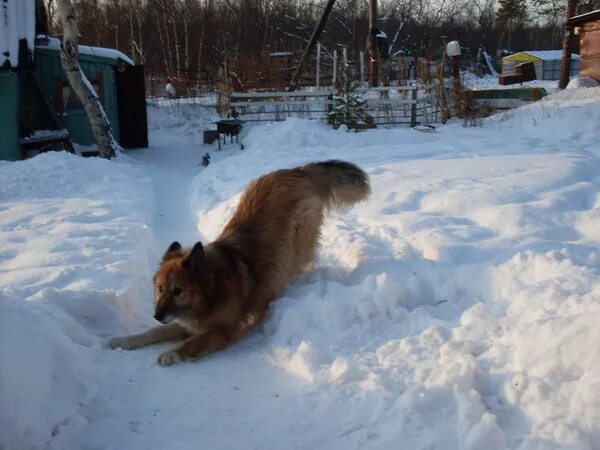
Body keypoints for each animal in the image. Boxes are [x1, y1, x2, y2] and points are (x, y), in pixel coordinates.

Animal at [109, 160, 370, 364]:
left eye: (178, 291)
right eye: (160, 289)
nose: (156, 314)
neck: (212, 289)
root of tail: (296, 171)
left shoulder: (223, 328)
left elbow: (195, 342)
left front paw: (172, 354)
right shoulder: (184, 322)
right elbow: (153, 333)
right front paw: (124, 340)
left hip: (298, 239)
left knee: (298, 264)